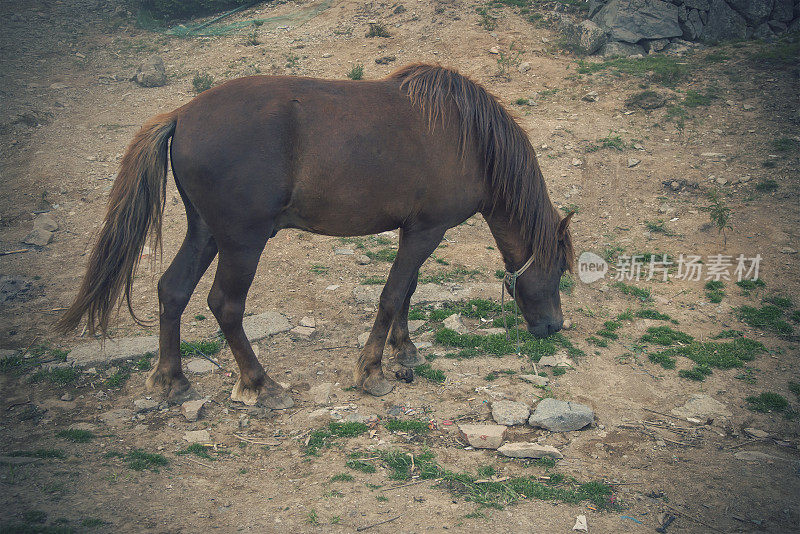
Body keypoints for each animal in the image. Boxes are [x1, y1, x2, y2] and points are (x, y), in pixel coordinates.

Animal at [59, 65, 572, 410]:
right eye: (561, 269)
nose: (553, 327)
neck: (467, 137)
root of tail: (182, 114)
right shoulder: (426, 230)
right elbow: (392, 295)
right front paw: (372, 371)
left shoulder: (416, 231)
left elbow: (407, 291)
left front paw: (404, 352)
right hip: (242, 243)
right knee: (225, 305)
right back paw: (261, 385)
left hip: (205, 233)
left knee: (173, 290)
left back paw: (171, 380)